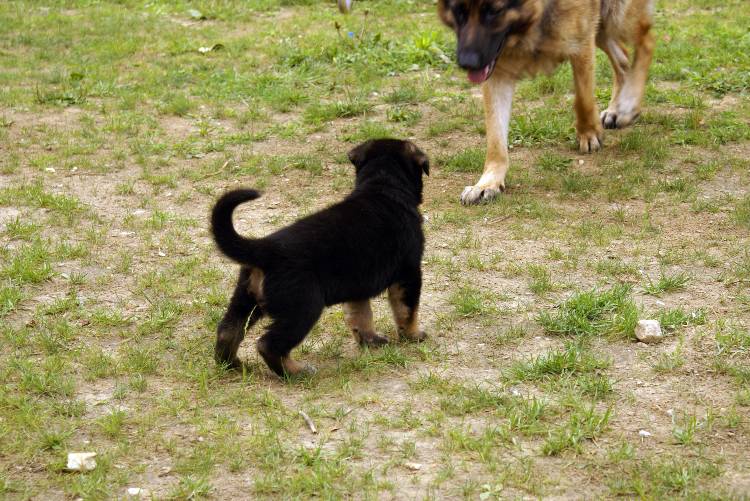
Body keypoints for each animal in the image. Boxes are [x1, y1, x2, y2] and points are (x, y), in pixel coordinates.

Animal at [212, 138, 432, 376]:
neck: (383, 187)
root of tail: (266, 248)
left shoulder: (357, 284)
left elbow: (361, 315)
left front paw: (370, 340)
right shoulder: (408, 273)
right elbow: (407, 311)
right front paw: (413, 336)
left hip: (246, 298)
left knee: (228, 330)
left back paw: (233, 365)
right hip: (304, 306)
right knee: (268, 344)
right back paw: (296, 372)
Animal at [438, 0, 656, 203]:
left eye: (495, 11)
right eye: (458, 10)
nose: (467, 63)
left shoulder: (581, 40)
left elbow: (583, 98)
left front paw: (589, 133)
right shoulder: (496, 68)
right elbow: (495, 138)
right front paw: (488, 183)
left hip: (615, 14)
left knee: (646, 40)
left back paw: (627, 105)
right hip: (603, 25)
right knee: (623, 58)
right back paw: (617, 108)